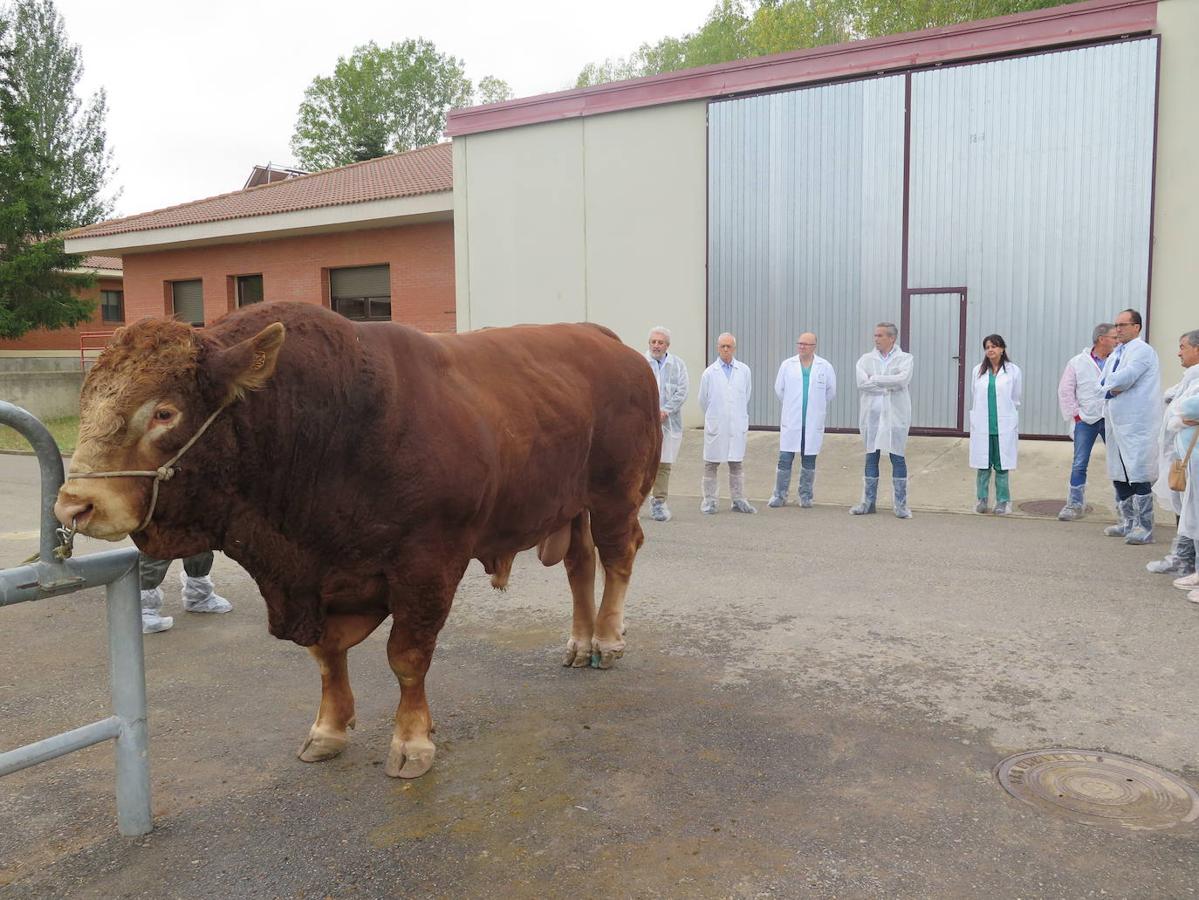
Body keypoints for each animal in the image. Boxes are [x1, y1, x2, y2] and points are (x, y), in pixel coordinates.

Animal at [51, 300, 661, 776]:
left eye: (163, 411)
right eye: (87, 402)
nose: (75, 504)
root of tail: (610, 343)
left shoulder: (428, 563)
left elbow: (407, 655)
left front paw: (411, 741)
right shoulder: (320, 577)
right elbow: (326, 656)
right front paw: (328, 729)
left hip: (615, 494)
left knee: (619, 556)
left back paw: (608, 638)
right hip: (571, 506)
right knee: (581, 564)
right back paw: (580, 642)